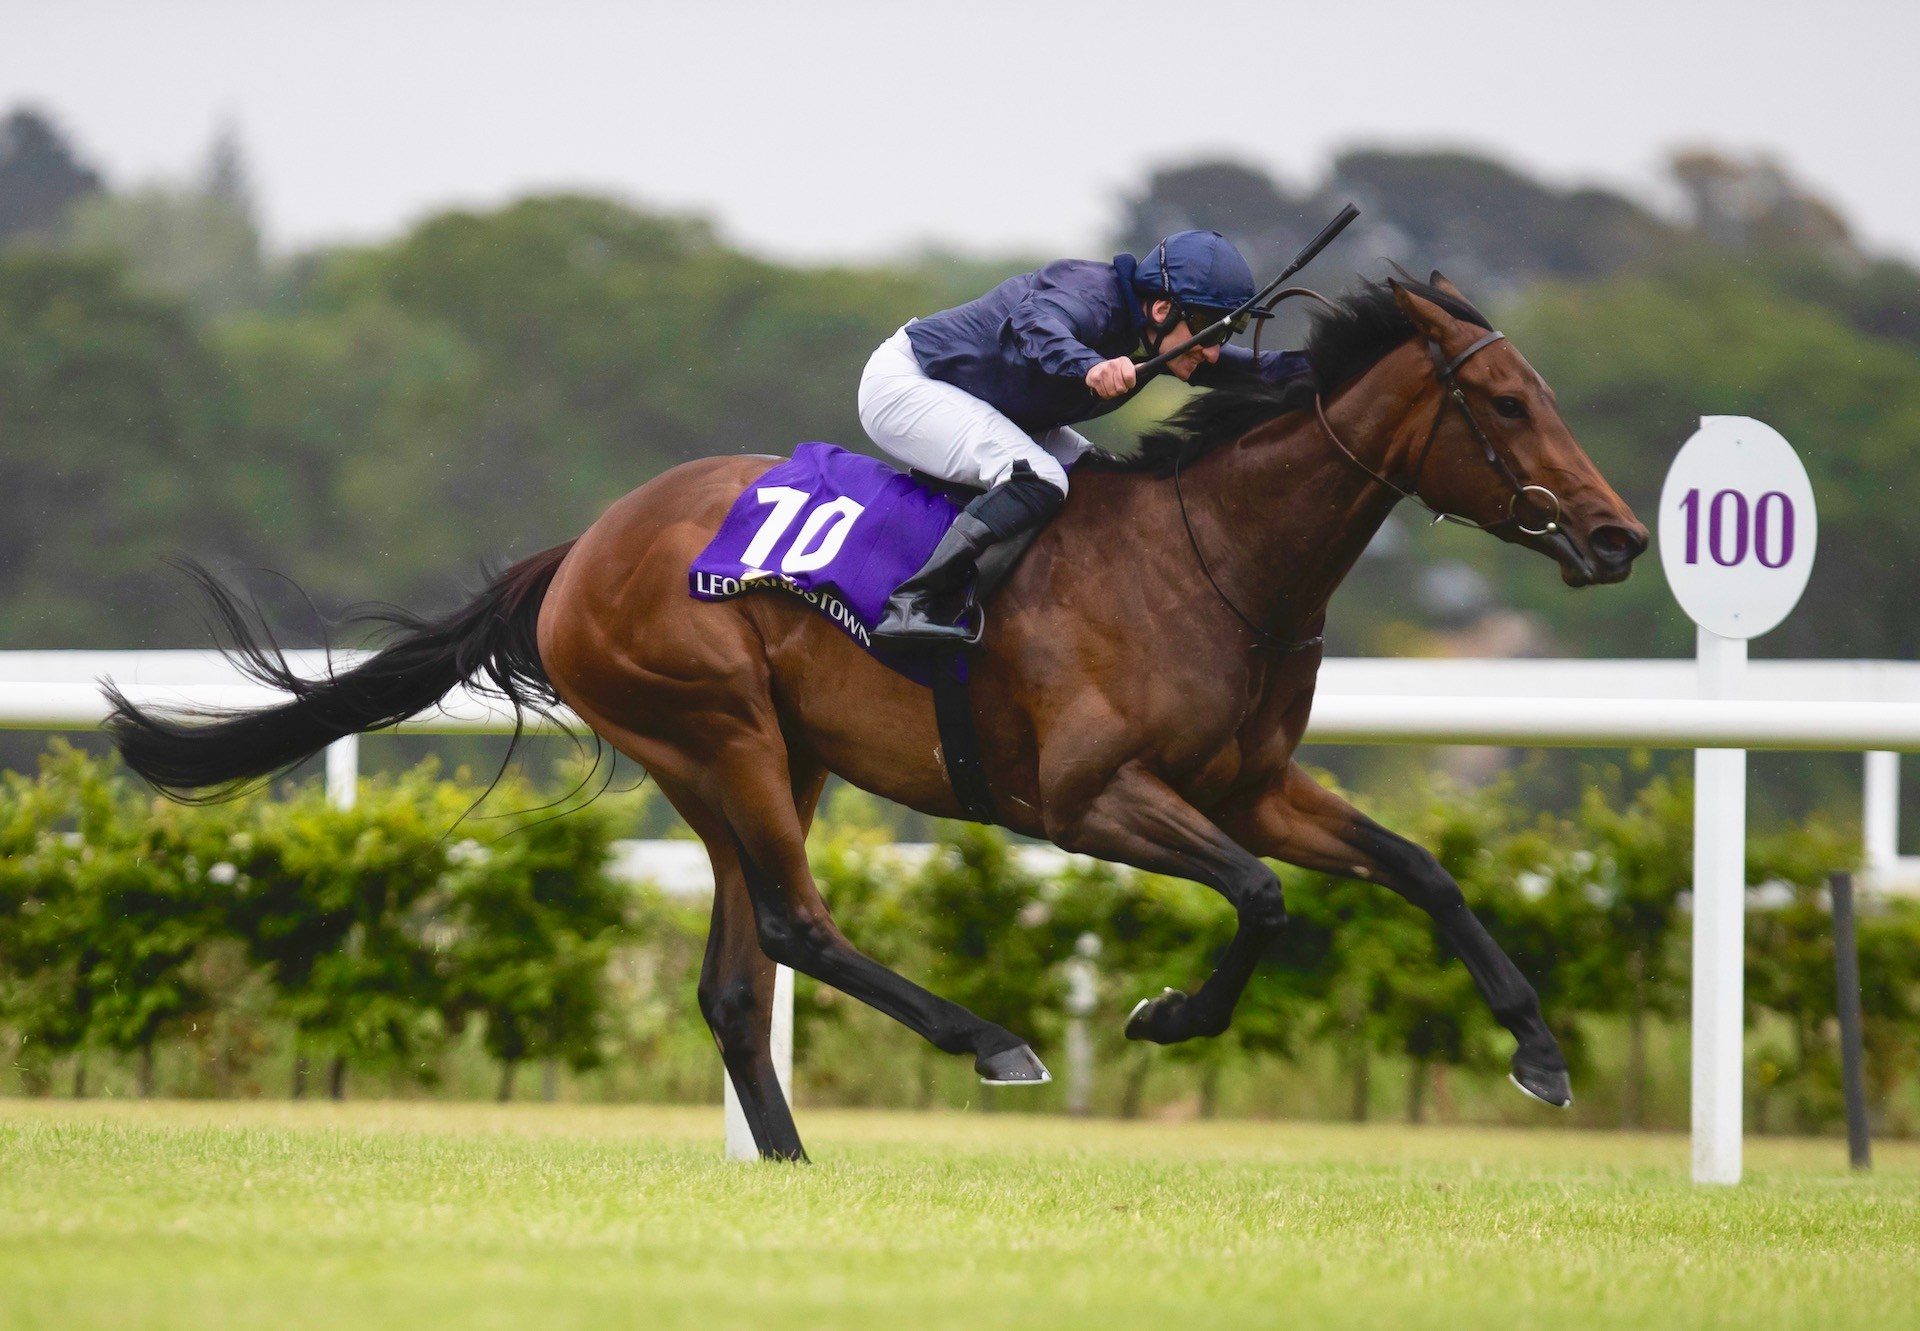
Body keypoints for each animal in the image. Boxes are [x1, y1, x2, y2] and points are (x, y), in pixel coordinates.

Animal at [105, 274, 1643, 1160]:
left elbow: (1418, 867)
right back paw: (989, 1039)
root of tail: (583, 546)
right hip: (716, 732)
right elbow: (1262, 897)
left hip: (769, 759)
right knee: (795, 926)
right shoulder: (1085, 798)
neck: (1213, 558)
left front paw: (1540, 1050)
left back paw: (790, 1159)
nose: (1620, 535)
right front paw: (1164, 1014)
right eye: (1506, 400)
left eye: (1547, 390)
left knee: (739, 977)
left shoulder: (1252, 781)